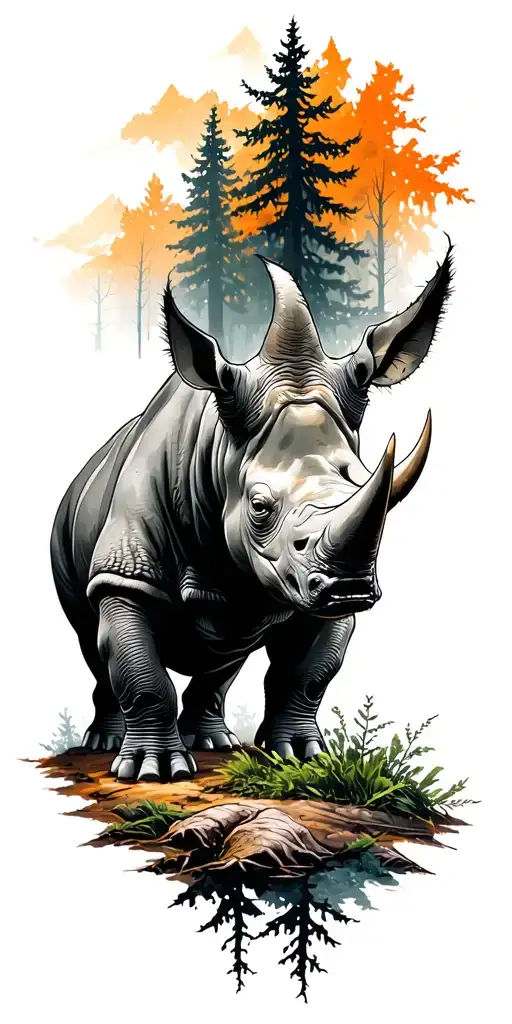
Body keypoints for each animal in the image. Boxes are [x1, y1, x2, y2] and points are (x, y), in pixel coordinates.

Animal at [51, 248, 452, 782]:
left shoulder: (314, 592)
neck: (220, 450)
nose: (350, 587)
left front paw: (305, 757)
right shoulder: (126, 573)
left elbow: (308, 675)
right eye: (259, 507)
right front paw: (154, 772)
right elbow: (141, 673)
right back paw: (106, 743)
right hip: (68, 526)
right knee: (89, 637)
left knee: (226, 652)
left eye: (373, 491)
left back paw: (213, 742)